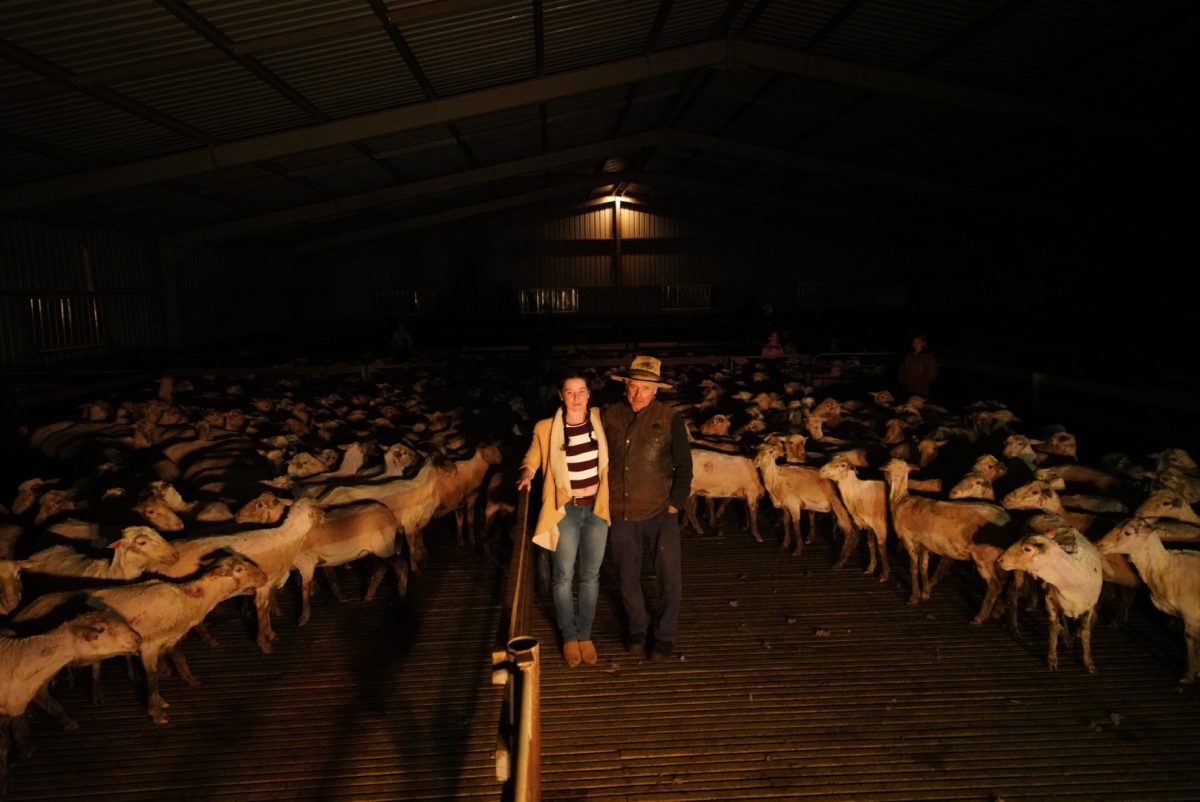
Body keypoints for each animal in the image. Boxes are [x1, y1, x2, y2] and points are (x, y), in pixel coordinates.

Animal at [1099, 516, 1200, 681]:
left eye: (1128, 532)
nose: (1100, 544)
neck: (1166, 568)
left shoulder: (1191, 616)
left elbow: (1191, 644)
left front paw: (1188, 677)